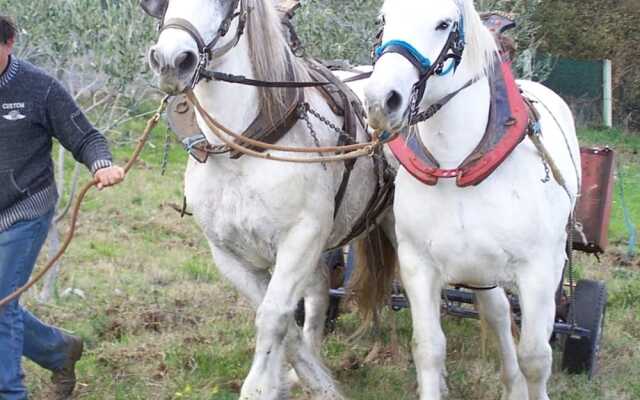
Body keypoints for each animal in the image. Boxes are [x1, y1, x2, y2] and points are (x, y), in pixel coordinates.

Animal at [143, 0, 398, 400]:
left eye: (226, 3)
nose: (171, 60)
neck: (245, 147)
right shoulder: (228, 253)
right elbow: (280, 318)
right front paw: (303, 379)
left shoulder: (301, 238)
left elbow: (273, 315)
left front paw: (262, 387)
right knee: (319, 291)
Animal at [364, 0, 580, 400]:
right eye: (383, 19)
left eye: (443, 23)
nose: (380, 102)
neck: (457, 163)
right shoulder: (418, 265)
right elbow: (429, 348)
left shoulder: (538, 269)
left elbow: (535, 356)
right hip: (483, 271)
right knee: (498, 312)